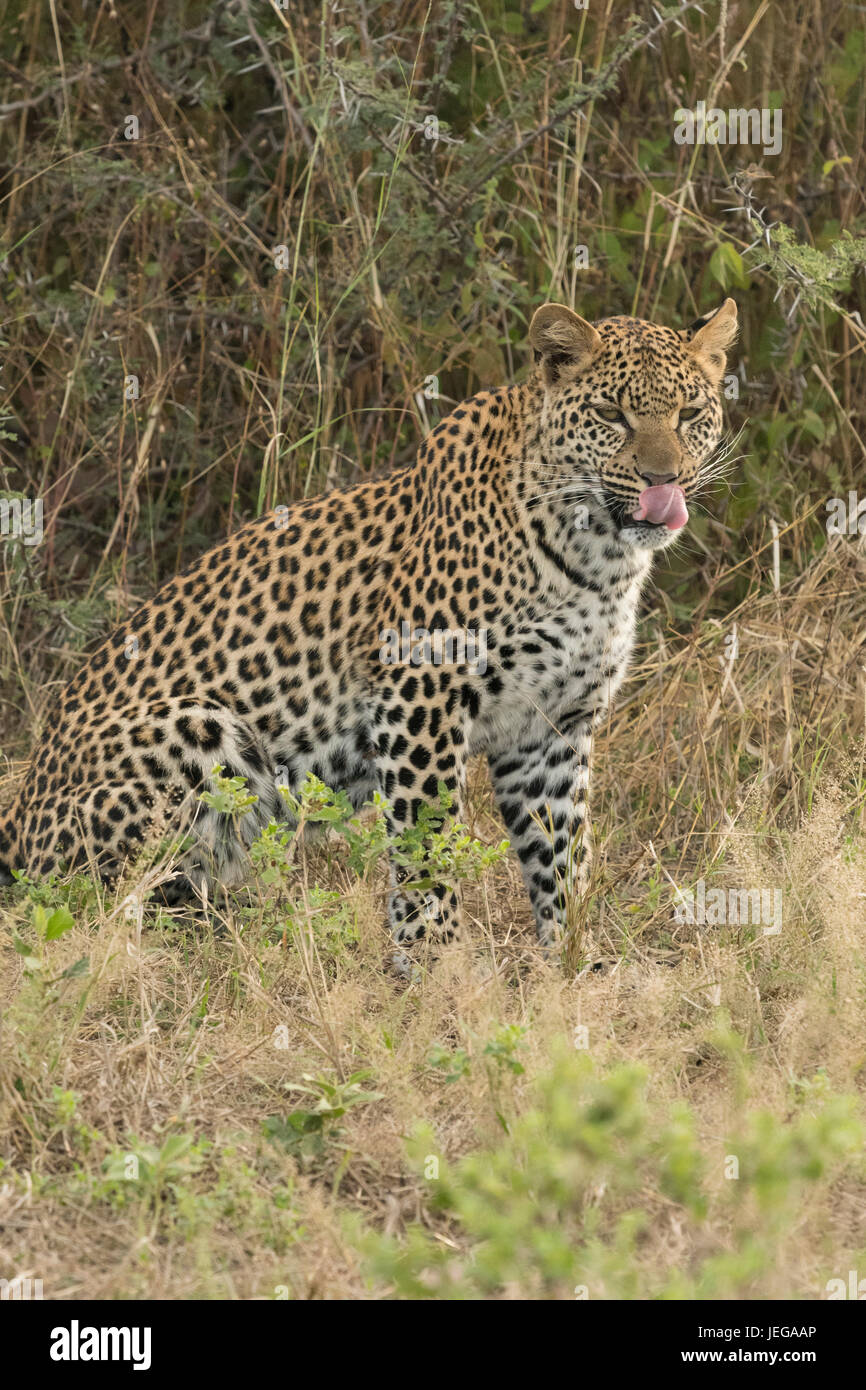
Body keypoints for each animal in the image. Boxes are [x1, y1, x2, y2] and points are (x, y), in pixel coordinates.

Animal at [0, 296, 738, 962]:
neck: (597, 556)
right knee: (98, 903)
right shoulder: (422, 694)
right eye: (612, 415)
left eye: (690, 415)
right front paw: (439, 971)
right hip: (200, 730)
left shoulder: (552, 726)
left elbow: (560, 855)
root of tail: (18, 811)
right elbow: (428, 842)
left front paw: (573, 962)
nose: (663, 479)